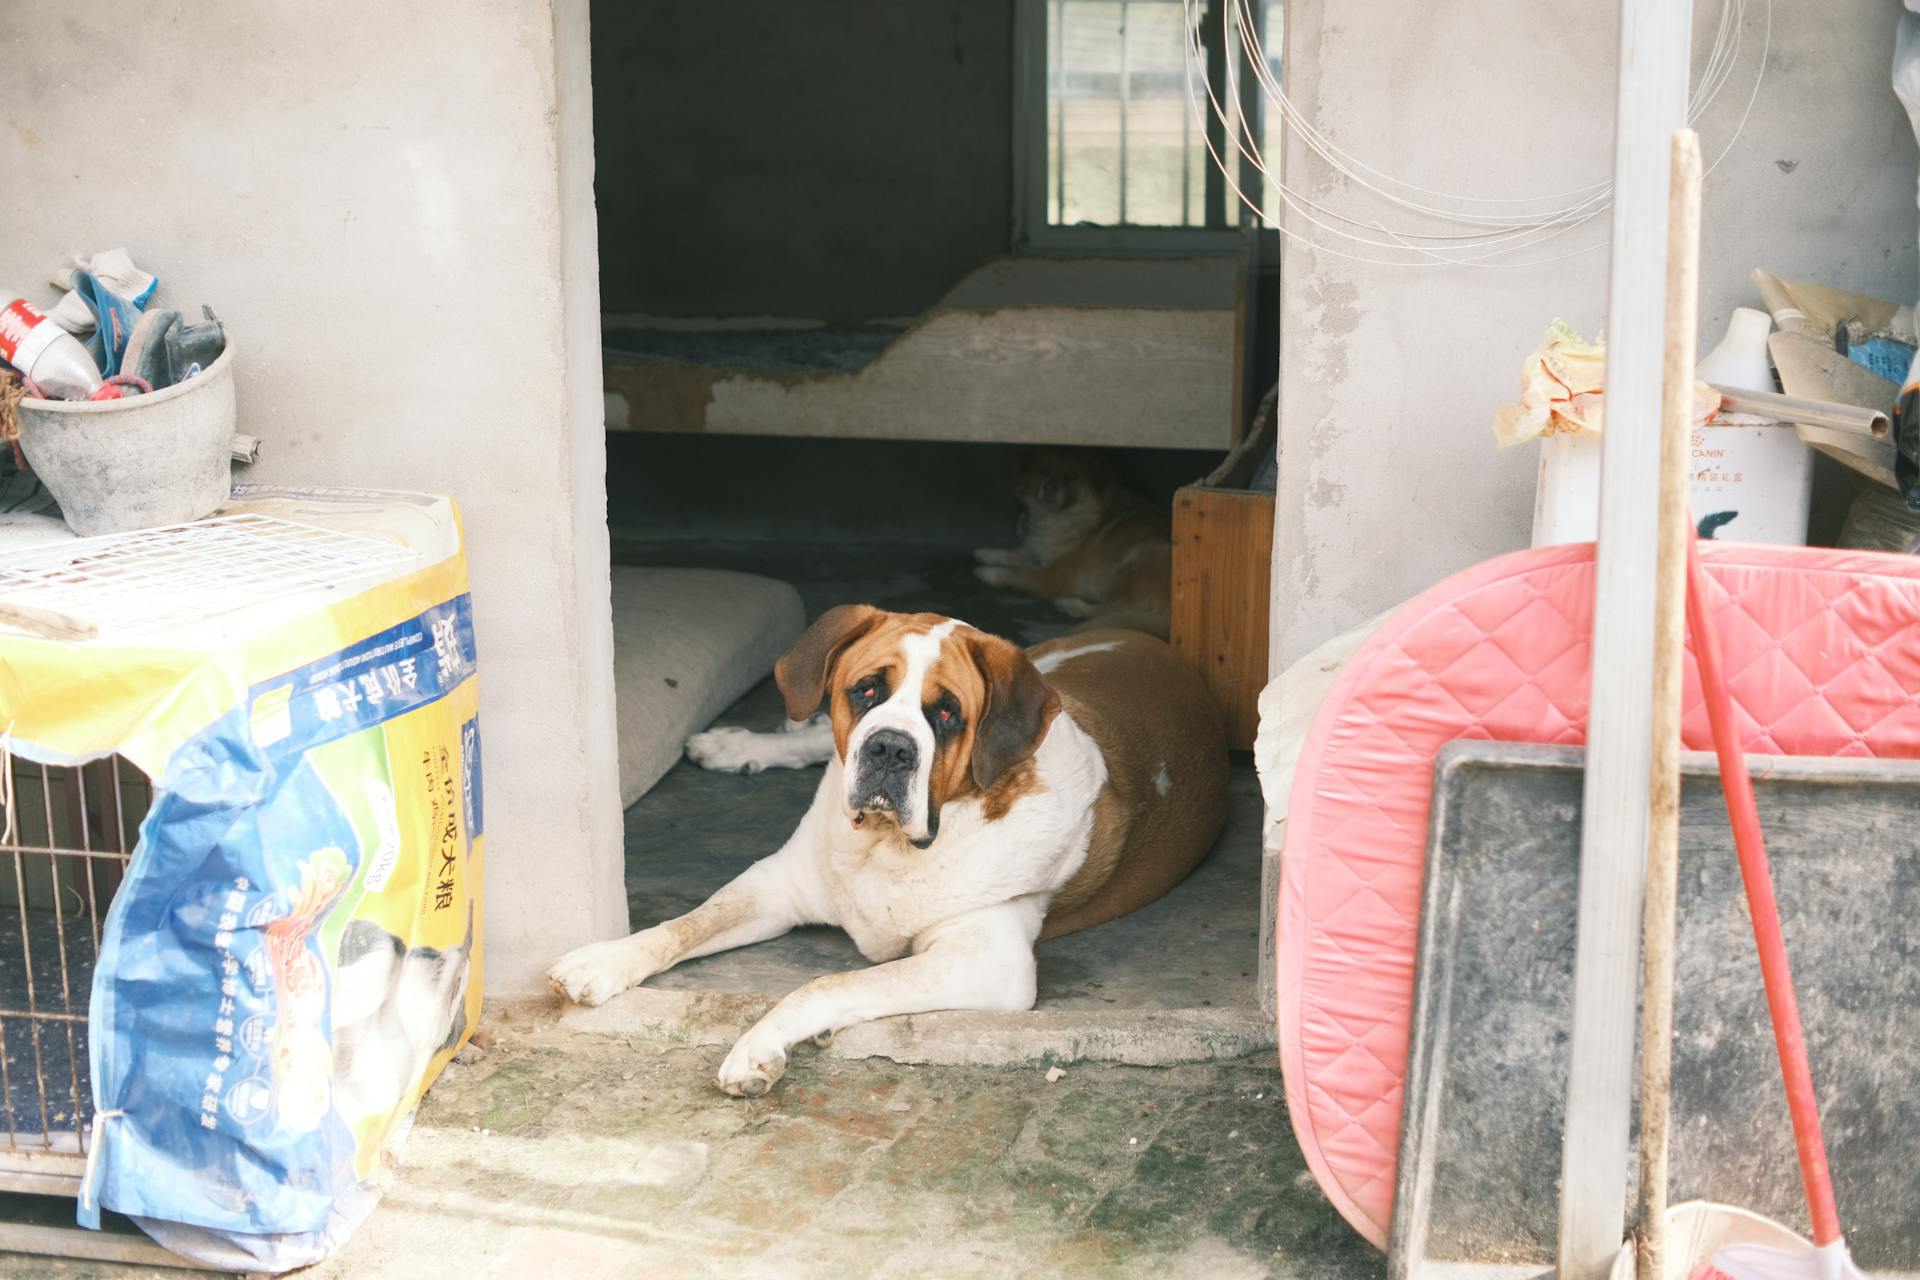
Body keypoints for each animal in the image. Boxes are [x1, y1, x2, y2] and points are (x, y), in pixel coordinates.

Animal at [549, 606, 1221, 1097]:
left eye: (947, 713)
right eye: (866, 690)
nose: (892, 748)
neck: (888, 847)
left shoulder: (987, 961)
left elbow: (827, 984)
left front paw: (757, 1048)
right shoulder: (774, 887)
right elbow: (687, 924)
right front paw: (602, 962)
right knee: (814, 734)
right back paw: (738, 745)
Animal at [975, 450, 1167, 640]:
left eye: (1073, 476)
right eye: (1043, 471)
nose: (1050, 487)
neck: (1057, 518)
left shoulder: (1050, 576)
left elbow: (1016, 573)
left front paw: (987, 572)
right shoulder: (1036, 551)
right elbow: (1013, 553)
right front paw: (985, 553)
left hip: (1137, 558)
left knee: (1111, 611)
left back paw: (1070, 604)